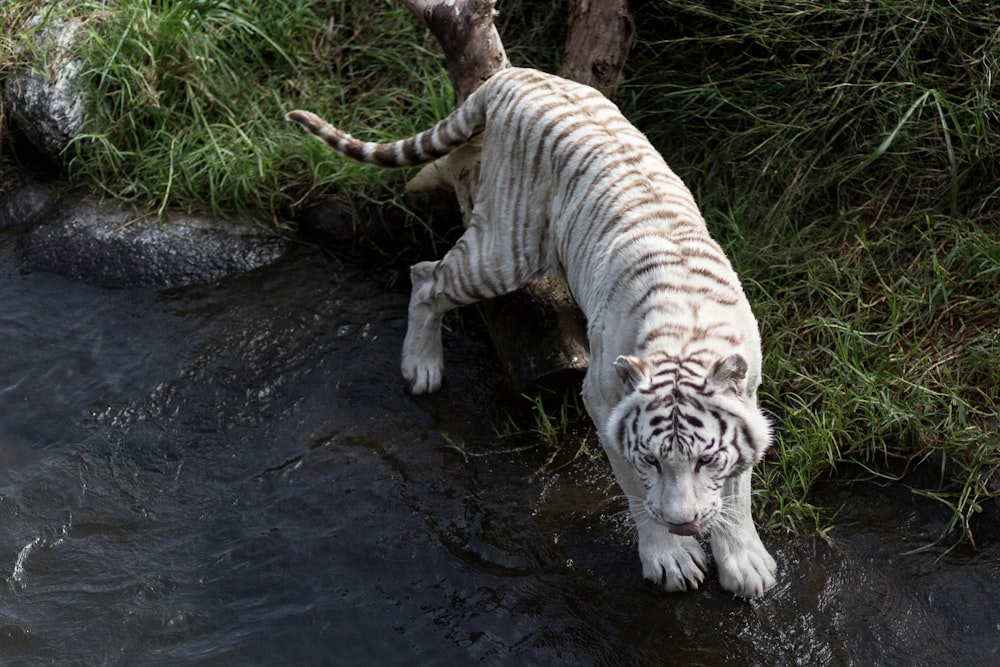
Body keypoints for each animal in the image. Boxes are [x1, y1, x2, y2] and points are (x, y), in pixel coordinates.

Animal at [286, 68, 776, 600]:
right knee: (426, 276)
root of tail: (514, 74)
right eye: (650, 460)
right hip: (505, 250)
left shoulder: (747, 396)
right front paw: (669, 556)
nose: (683, 524)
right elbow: (633, 489)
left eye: (705, 461)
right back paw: (422, 366)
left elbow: (737, 492)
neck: (686, 331)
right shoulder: (601, 399)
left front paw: (744, 562)